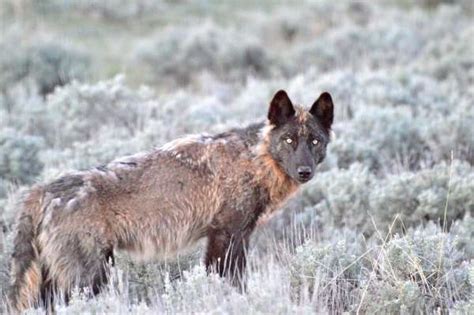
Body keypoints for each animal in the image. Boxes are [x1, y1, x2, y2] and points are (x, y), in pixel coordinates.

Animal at [7, 90, 334, 312]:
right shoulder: (226, 236)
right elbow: (232, 283)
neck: (255, 159)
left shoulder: (229, 237)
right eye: (289, 140)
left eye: (314, 141)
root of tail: (41, 190)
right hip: (88, 279)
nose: (305, 171)